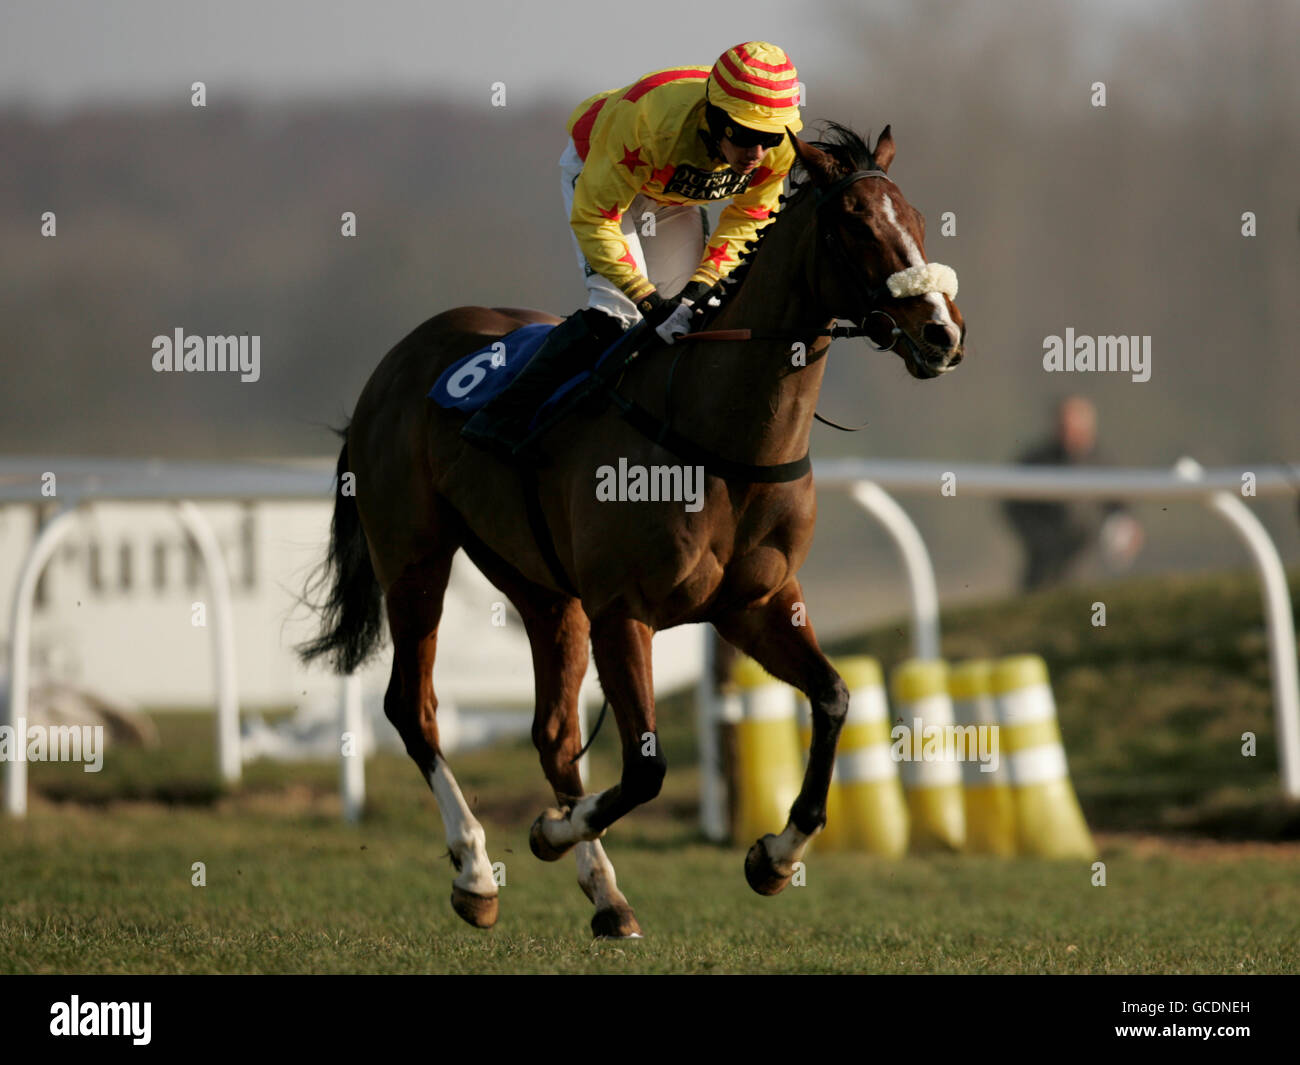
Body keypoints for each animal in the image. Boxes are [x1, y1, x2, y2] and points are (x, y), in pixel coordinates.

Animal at [299, 124, 961, 936]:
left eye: (920, 222)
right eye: (858, 225)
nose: (942, 332)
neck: (718, 436)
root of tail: (393, 363)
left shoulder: (756, 603)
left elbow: (835, 698)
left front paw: (775, 856)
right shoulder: (624, 609)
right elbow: (646, 766)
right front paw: (549, 832)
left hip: (543, 587)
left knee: (552, 731)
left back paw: (606, 893)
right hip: (415, 555)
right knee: (412, 708)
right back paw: (478, 873)